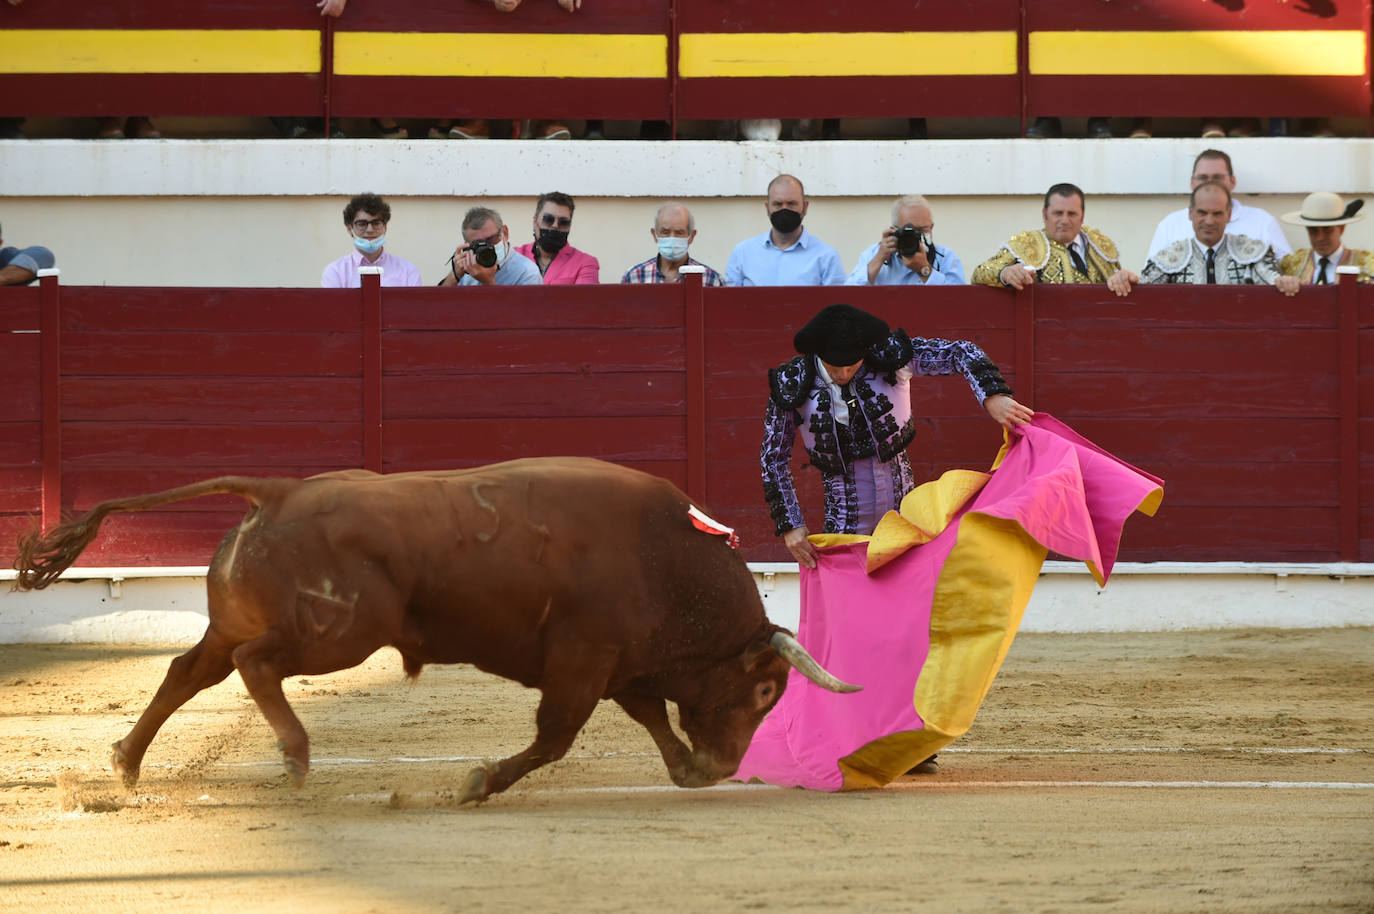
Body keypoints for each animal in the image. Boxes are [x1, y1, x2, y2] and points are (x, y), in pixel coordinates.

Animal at [13, 459, 857, 802]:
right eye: (765, 690)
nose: (727, 766)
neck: (670, 558)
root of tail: (278, 491)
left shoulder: (621, 664)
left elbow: (649, 716)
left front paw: (685, 771)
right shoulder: (585, 661)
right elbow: (556, 738)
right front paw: (477, 783)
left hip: (240, 622)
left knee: (190, 672)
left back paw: (124, 764)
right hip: (341, 633)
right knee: (256, 664)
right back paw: (294, 754)